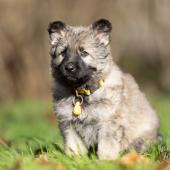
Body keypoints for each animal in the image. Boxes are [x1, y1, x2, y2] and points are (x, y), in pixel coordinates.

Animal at [47, 19, 159, 160]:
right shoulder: (68, 123)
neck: (83, 92)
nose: (69, 67)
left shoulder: (108, 123)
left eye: (84, 53)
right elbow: (74, 146)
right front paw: (76, 159)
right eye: (63, 53)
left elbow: (107, 146)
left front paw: (106, 161)